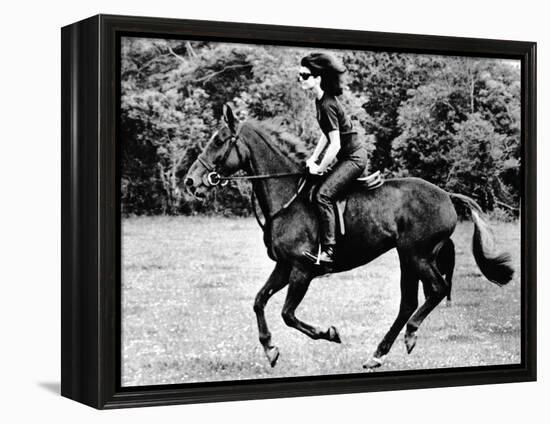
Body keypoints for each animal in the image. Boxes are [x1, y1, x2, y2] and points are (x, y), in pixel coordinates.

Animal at [185, 104, 516, 370]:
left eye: (219, 140)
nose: (190, 181)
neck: (287, 198)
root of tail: (447, 195)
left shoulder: (302, 270)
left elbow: (288, 314)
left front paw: (329, 334)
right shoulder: (284, 266)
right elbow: (258, 302)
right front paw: (270, 348)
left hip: (417, 255)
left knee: (436, 289)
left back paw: (409, 334)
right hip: (407, 257)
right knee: (408, 302)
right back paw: (378, 354)